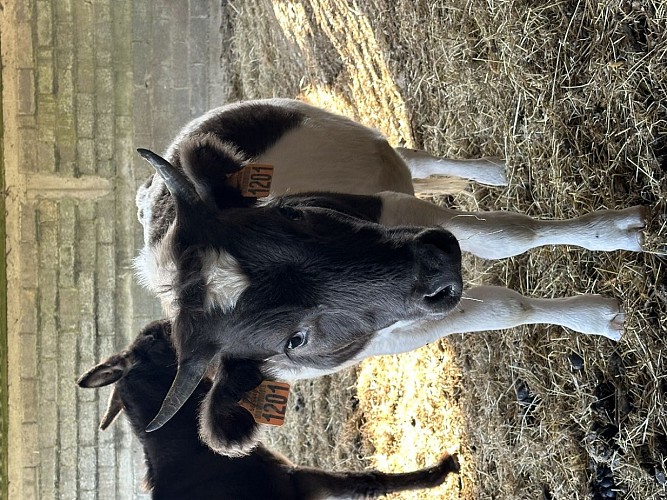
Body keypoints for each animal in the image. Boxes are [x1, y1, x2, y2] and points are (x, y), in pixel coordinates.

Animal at [133, 98, 647, 454]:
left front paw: (615, 232)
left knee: (411, 155)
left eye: (292, 213)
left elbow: (512, 235)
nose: (435, 267)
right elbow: (506, 306)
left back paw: (489, 170)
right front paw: (597, 317)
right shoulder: (410, 323)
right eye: (293, 340)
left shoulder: (403, 215)